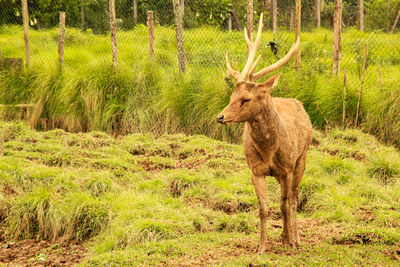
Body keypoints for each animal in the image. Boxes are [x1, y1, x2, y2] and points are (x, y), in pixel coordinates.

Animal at [216, 13, 312, 254]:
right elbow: (263, 207)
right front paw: (261, 247)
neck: (269, 151)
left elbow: (285, 203)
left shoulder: (287, 167)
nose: (220, 117)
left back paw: (296, 238)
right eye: (232, 96)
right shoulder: (256, 170)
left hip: (302, 157)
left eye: (246, 99)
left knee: (294, 198)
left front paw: (289, 240)